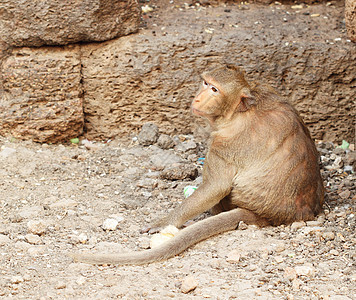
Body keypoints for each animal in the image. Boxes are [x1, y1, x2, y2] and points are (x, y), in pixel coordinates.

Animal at [70, 63, 326, 264]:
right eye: (205, 83)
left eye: (215, 89)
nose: (198, 98)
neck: (238, 111)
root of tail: (280, 216)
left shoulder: (224, 144)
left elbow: (216, 187)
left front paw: (167, 221)